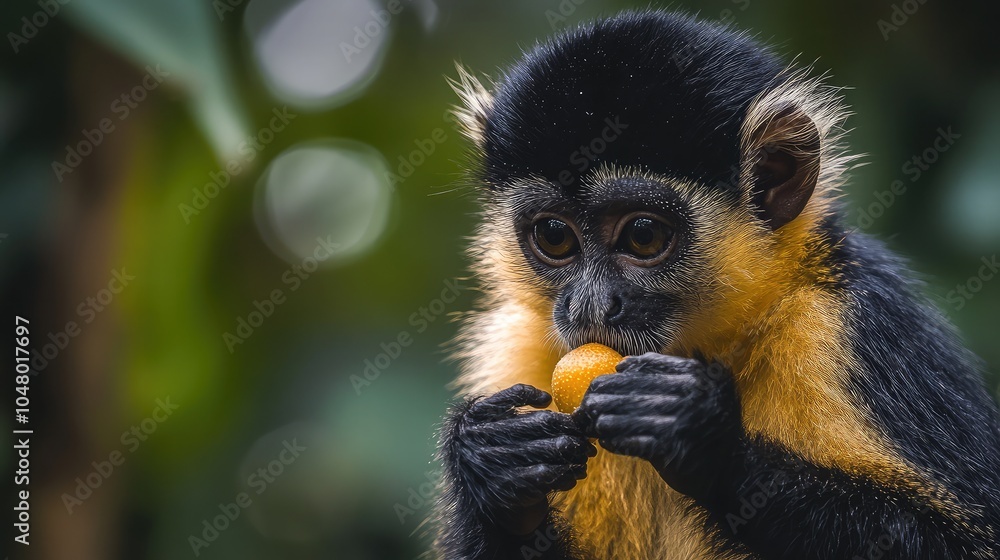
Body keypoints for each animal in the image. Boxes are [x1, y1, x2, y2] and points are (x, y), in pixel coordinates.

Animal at [432, 10, 1000, 560]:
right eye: (554, 235)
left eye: (642, 235)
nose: (589, 305)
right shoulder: (517, 347)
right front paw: (492, 467)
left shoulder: (853, 323)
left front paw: (706, 442)